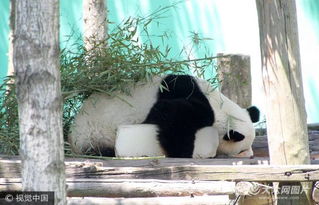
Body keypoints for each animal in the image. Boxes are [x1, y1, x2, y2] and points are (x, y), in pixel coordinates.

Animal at [69, 74, 262, 158]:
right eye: (242, 149)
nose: (250, 155)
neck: (221, 107)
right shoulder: (192, 100)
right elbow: (171, 115)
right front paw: (183, 152)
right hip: (94, 134)